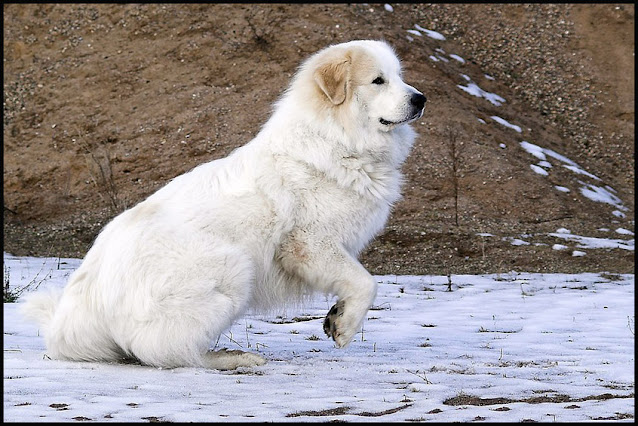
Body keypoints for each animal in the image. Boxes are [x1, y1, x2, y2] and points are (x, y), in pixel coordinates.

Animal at [22, 41, 428, 372]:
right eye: (377, 81)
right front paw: (345, 326)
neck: (335, 139)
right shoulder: (309, 243)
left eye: (399, 77)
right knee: (164, 352)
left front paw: (336, 316)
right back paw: (233, 359)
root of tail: (79, 310)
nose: (420, 98)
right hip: (234, 268)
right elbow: (366, 282)